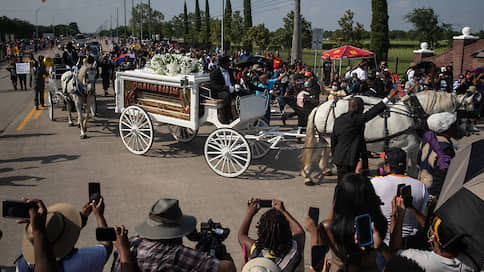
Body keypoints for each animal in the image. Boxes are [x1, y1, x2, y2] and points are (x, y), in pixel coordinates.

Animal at [300, 91, 474, 183]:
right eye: (466, 111)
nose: (466, 132)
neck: (413, 114)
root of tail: (321, 106)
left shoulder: (413, 149)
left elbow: (413, 170)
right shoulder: (406, 149)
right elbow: (407, 171)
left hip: (324, 138)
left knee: (317, 153)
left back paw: (312, 172)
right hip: (329, 138)